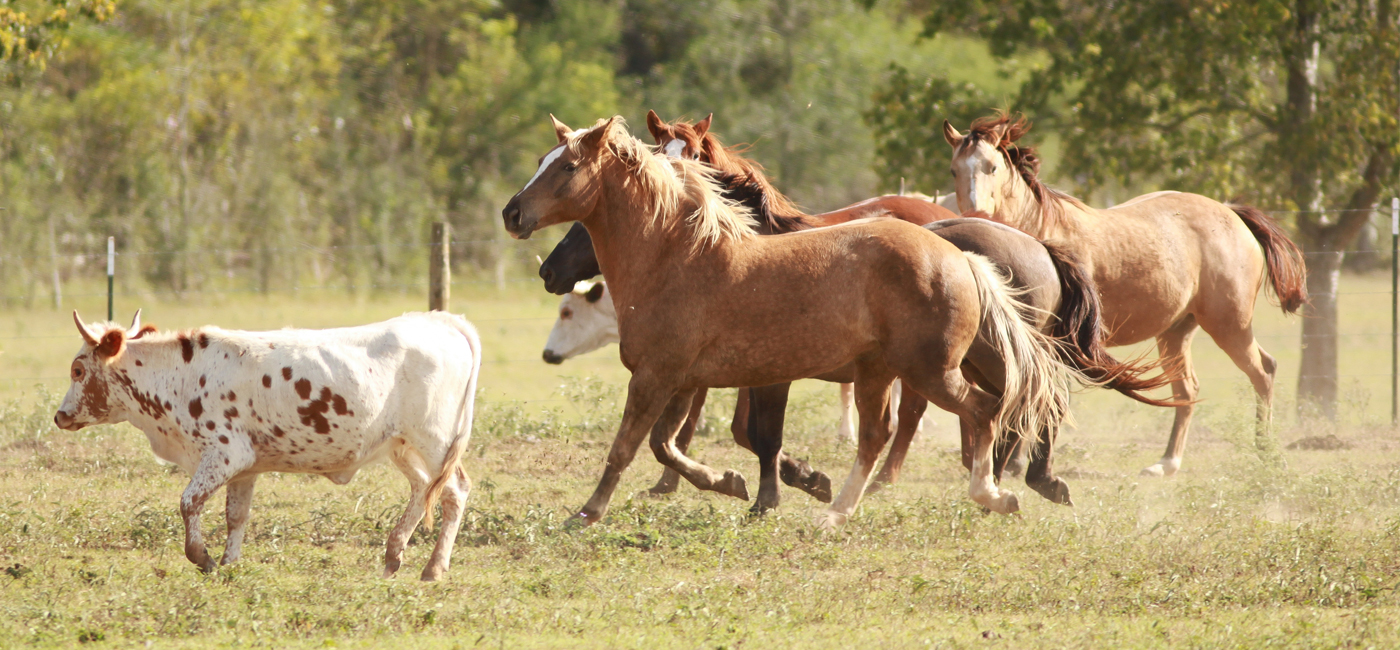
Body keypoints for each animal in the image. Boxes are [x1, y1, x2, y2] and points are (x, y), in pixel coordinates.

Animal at [54, 306, 484, 582]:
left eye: (77, 370)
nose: (60, 416)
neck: (180, 375)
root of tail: (440, 321)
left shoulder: (225, 454)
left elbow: (189, 502)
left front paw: (203, 558)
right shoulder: (246, 467)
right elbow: (236, 516)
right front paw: (229, 564)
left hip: (435, 440)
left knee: (454, 491)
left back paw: (433, 568)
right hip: (401, 445)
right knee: (422, 489)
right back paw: (394, 555)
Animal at [506, 115, 1080, 523]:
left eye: (566, 167)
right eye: (540, 158)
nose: (513, 214)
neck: (676, 256)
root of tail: (961, 258)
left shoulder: (658, 376)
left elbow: (629, 446)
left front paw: (587, 513)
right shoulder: (686, 380)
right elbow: (670, 446)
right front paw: (731, 483)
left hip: (930, 370)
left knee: (982, 412)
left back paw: (989, 493)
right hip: (884, 371)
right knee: (890, 432)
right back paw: (847, 510)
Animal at [946, 112, 1304, 476]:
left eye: (992, 167)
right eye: (954, 170)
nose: (974, 214)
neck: (1042, 234)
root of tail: (1232, 213)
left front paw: (1017, 463)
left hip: (1229, 325)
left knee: (1263, 371)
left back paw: (1266, 453)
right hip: (1175, 333)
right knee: (1187, 389)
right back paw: (1166, 463)